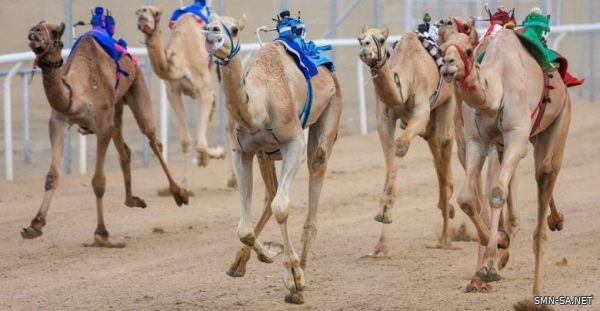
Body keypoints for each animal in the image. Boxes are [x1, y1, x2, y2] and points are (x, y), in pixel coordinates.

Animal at [21, 20, 188, 247]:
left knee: (153, 140)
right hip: (116, 108)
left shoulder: (102, 125)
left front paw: (102, 234)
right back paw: (133, 200)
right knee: (125, 152)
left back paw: (179, 193)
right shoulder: (58, 122)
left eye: (55, 32)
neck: (76, 94)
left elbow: (98, 181)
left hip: (136, 88)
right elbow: (51, 176)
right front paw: (34, 225)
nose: (34, 33)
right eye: (37, 26)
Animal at [136, 6, 237, 188]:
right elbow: (186, 141)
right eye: (138, 11)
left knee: (228, 125)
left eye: (156, 14)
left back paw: (233, 179)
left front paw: (218, 153)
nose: (142, 14)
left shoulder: (204, 89)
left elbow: (201, 143)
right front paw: (185, 182)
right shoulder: (173, 92)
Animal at [203, 14, 340, 304]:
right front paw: (268, 253)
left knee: (315, 170)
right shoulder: (242, 152)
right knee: (270, 193)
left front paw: (294, 277)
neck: (259, 105)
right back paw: (240, 263)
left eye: (234, 29)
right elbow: (244, 228)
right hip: (264, 154)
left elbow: (282, 207)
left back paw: (300, 280)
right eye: (208, 23)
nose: (212, 33)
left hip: (332, 109)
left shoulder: (293, 143)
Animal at [358, 25, 458, 258]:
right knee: (437, 157)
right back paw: (446, 210)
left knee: (445, 144)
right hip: (430, 128)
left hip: (448, 103)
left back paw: (446, 238)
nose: (366, 49)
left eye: (381, 39)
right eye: (360, 39)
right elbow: (390, 162)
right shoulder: (384, 120)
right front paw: (380, 244)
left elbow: (401, 146)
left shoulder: (421, 111)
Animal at [440, 31, 572, 300]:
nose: (447, 64)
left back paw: (536, 292)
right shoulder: (477, 141)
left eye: (468, 50)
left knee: (545, 173)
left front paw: (490, 265)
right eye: (441, 48)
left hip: (560, 117)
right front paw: (499, 241)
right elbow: (467, 198)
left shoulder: (516, 136)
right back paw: (554, 220)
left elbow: (497, 192)